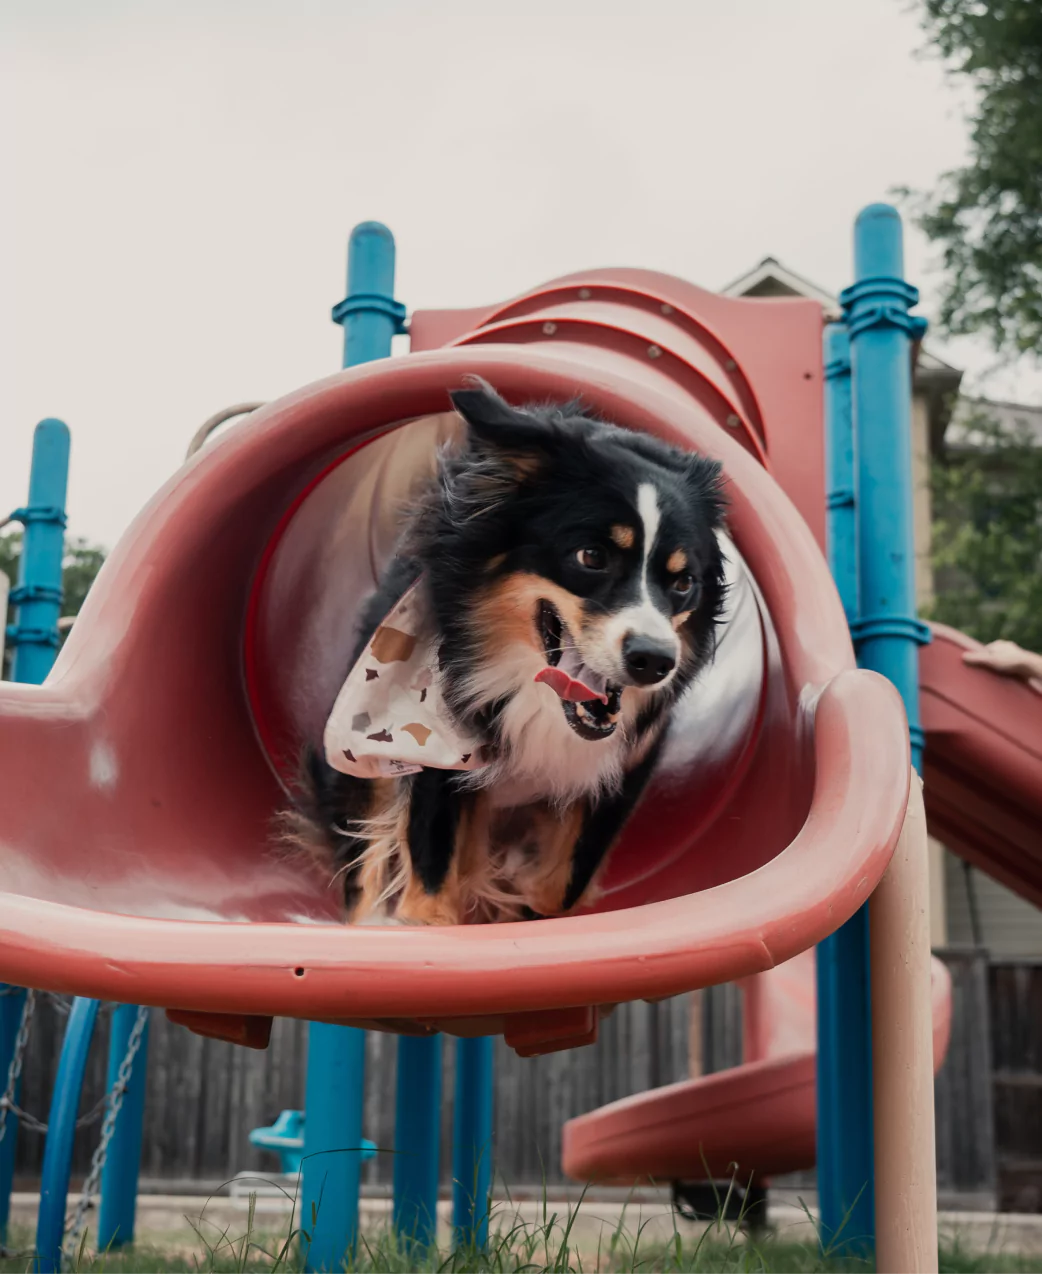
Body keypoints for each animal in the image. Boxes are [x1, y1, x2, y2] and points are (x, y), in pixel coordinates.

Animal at [280, 377, 728, 927]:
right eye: (591, 556)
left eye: (684, 583)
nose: (654, 662)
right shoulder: (435, 751)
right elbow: (430, 883)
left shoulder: (627, 764)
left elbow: (562, 886)